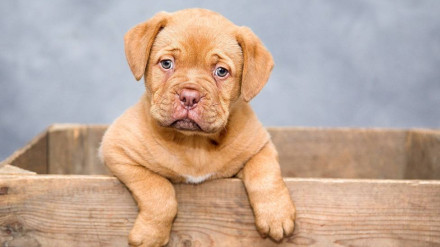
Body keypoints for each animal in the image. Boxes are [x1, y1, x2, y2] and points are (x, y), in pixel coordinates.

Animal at [100, 8, 296, 247]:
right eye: (167, 64)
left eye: (221, 71)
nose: (189, 96)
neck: (193, 142)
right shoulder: (117, 150)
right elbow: (158, 190)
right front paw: (151, 235)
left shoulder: (260, 146)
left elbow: (265, 173)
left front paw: (276, 215)